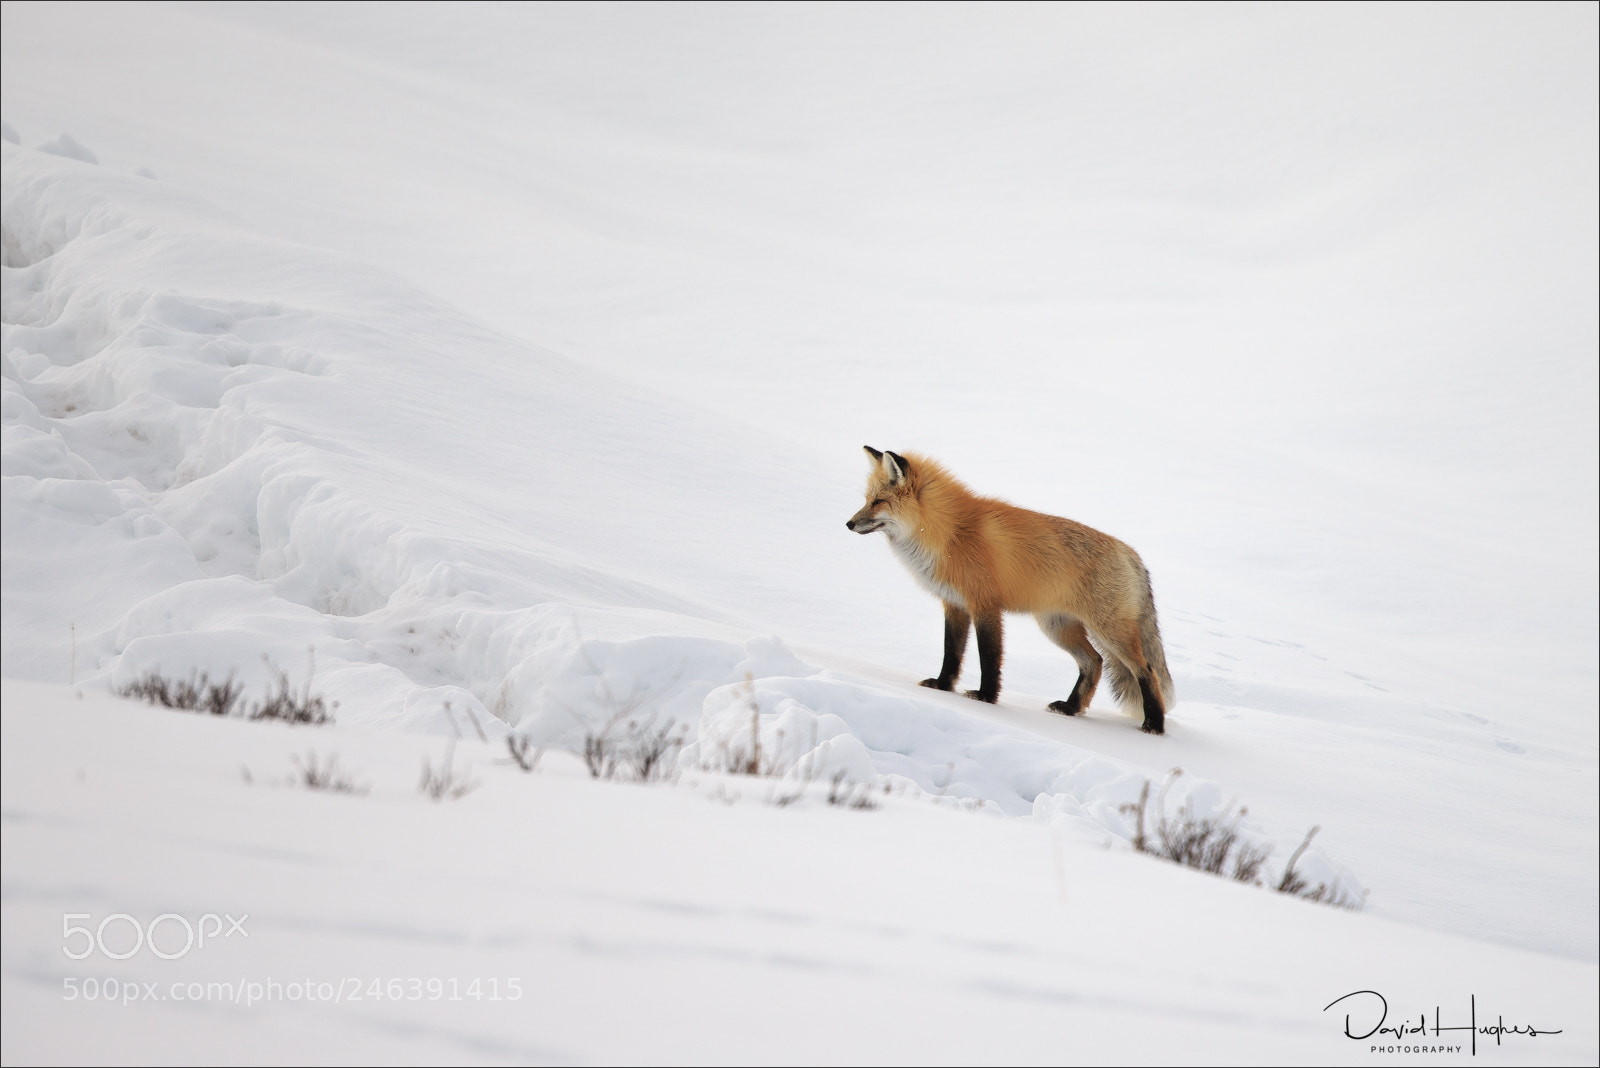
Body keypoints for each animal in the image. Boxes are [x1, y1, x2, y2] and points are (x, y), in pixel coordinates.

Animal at [846, 447, 1175, 733]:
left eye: (878, 501)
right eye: (866, 499)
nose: (849, 524)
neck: (949, 533)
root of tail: (1130, 553)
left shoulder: (985, 606)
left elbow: (989, 656)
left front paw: (986, 698)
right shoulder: (954, 605)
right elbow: (951, 654)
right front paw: (942, 687)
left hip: (1109, 631)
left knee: (1147, 671)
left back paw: (1154, 726)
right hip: (1057, 627)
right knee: (1094, 662)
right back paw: (1070, 708)